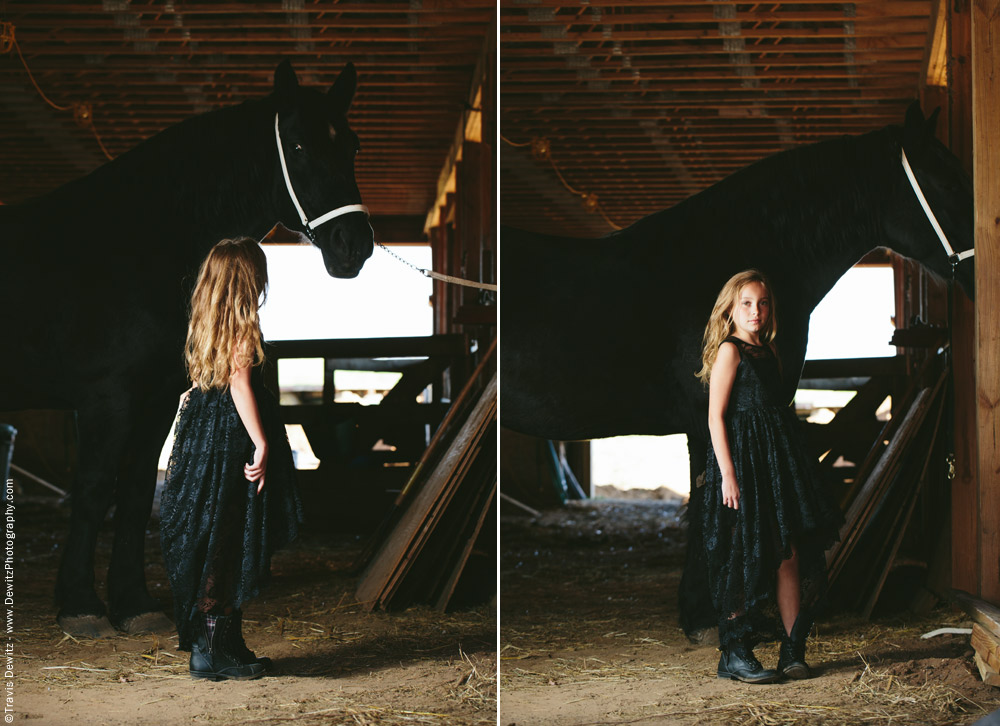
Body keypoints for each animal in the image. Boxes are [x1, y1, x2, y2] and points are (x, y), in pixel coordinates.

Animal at [0, 61, 376, 636]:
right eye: (298, 146)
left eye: (353, 145)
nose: (353, 245)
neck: (138, 242)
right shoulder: (105, 399)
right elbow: (93, 491)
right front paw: (81, 604)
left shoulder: (156, 398)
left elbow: (135, 495)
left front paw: (133, 604)